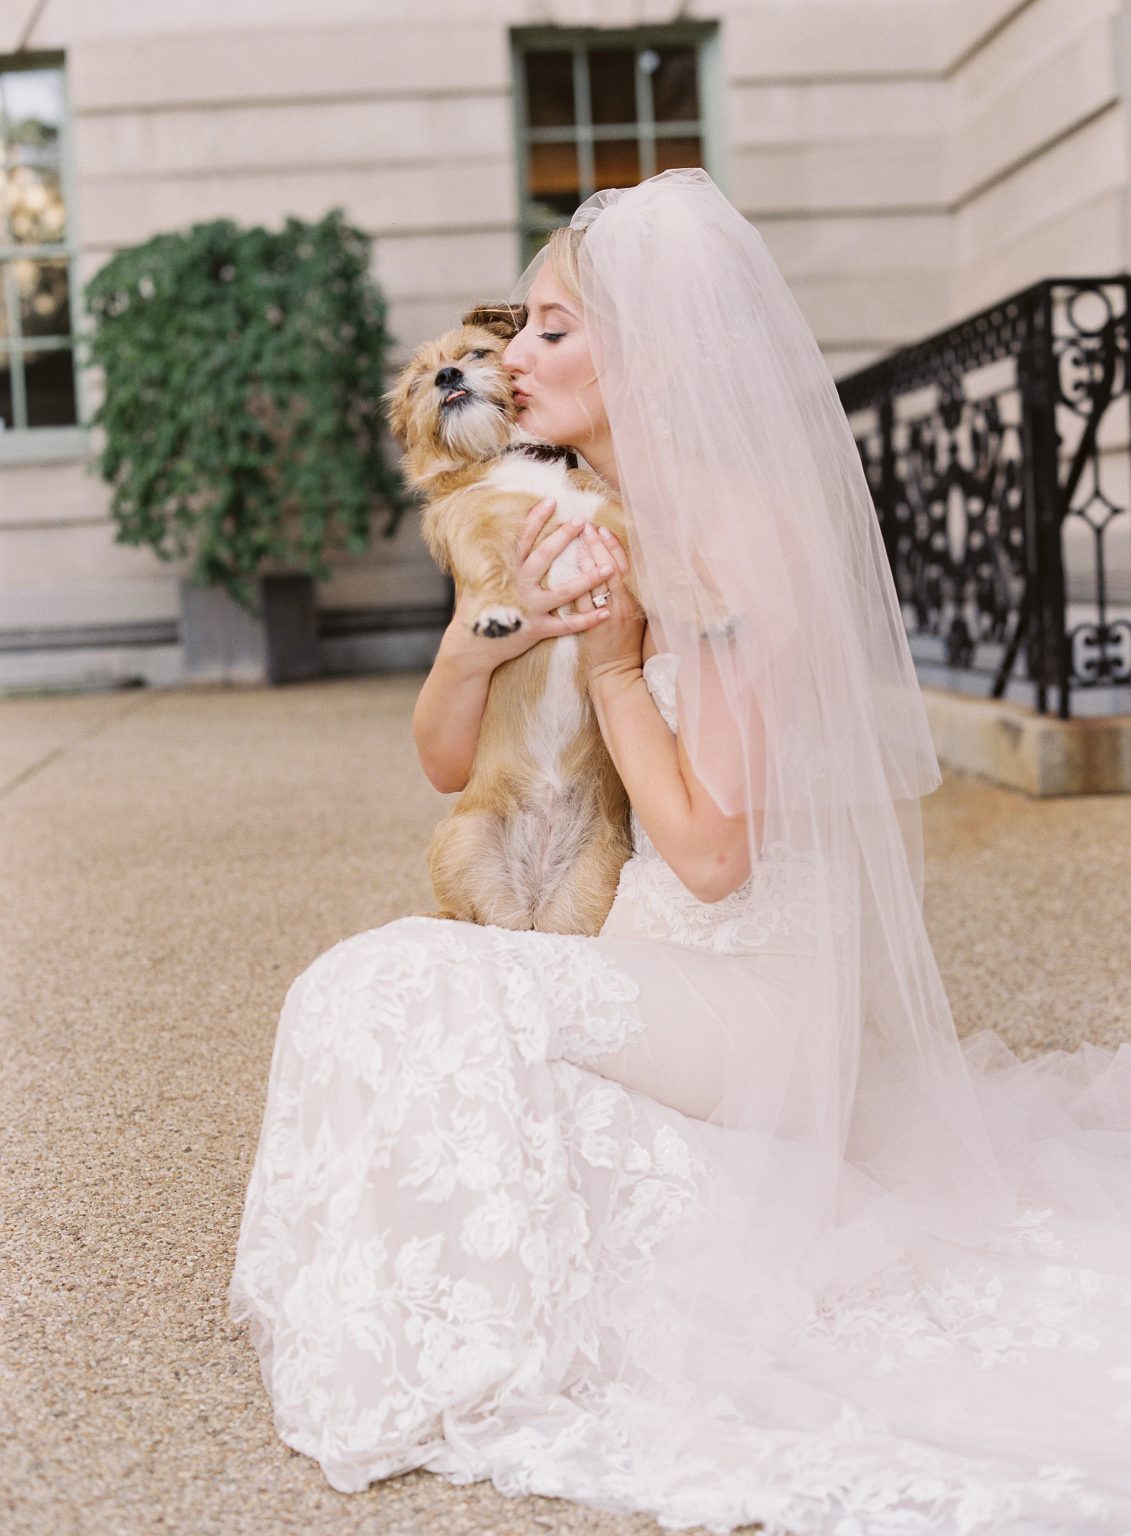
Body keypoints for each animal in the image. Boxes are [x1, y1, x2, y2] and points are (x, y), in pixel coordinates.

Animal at [384, 301, 636, 933]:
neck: (512, 458)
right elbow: (492, 570)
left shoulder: (610, 519)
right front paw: (498, 610)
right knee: (461, 912)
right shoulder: (474, 529)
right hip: (455, 841)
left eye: (475, 353)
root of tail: (528, 907)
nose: (447, 376)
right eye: (419, 382)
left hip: (597, 890)